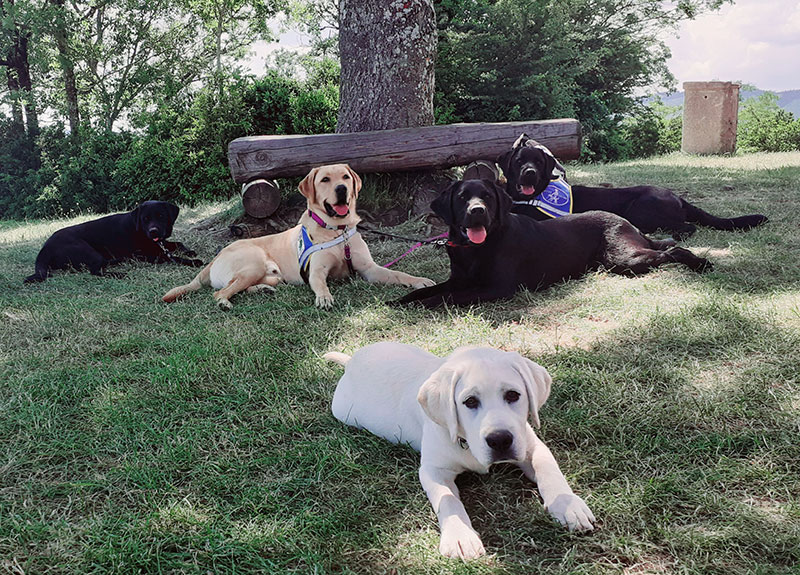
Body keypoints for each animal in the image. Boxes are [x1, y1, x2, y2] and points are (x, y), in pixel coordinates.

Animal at [24, 201, 203, 284]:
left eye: (161, 216)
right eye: (145, 219)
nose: (153, 231)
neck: (137, 228)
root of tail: (45, 247)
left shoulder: (161, 244)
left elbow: (177, 244)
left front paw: (189, 251)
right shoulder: (150, 255)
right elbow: (172, 257)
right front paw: (193, 261)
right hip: (89, 251)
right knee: (95, 271)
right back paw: (119, 273)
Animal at [163, 164, 434, 310]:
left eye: (345, 177)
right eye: (325, 179)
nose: (342, 189)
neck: (337, 229)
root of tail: (215, 258)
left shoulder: (369, 269)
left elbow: (398, 273)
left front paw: (419, 280)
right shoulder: (316, 272)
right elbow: (321, 284)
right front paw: (324, 298)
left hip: (268, 275)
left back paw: (263, 290)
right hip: (253, 263)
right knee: (220, 293)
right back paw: (225, 302)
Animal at [324, 344, 592, 560]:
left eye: (513, 395)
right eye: (470, 402)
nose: (500, 440)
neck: (466, 443)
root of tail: (351, 362)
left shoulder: (532, 446)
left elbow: (550, 471)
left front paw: (568, 506)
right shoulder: (433, 470)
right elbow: (447, 499)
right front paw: (460, 536)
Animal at [396, 180, 708, 308]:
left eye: (487, 197)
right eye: (462, 197)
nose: (477, 211)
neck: (475, 249)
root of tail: (626, 222)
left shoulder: (497, 288)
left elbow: (447, 297)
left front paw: (424, 304)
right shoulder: (458, 279)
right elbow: (430, 288)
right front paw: (400, 300)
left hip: (624, 257)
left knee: (671, 250)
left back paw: (700, 263)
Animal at [500, 136, 768, 240]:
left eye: (538, 162)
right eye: (519, 161)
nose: (530, 173)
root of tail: (678, 197)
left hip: (640, 209)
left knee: (688, 227)